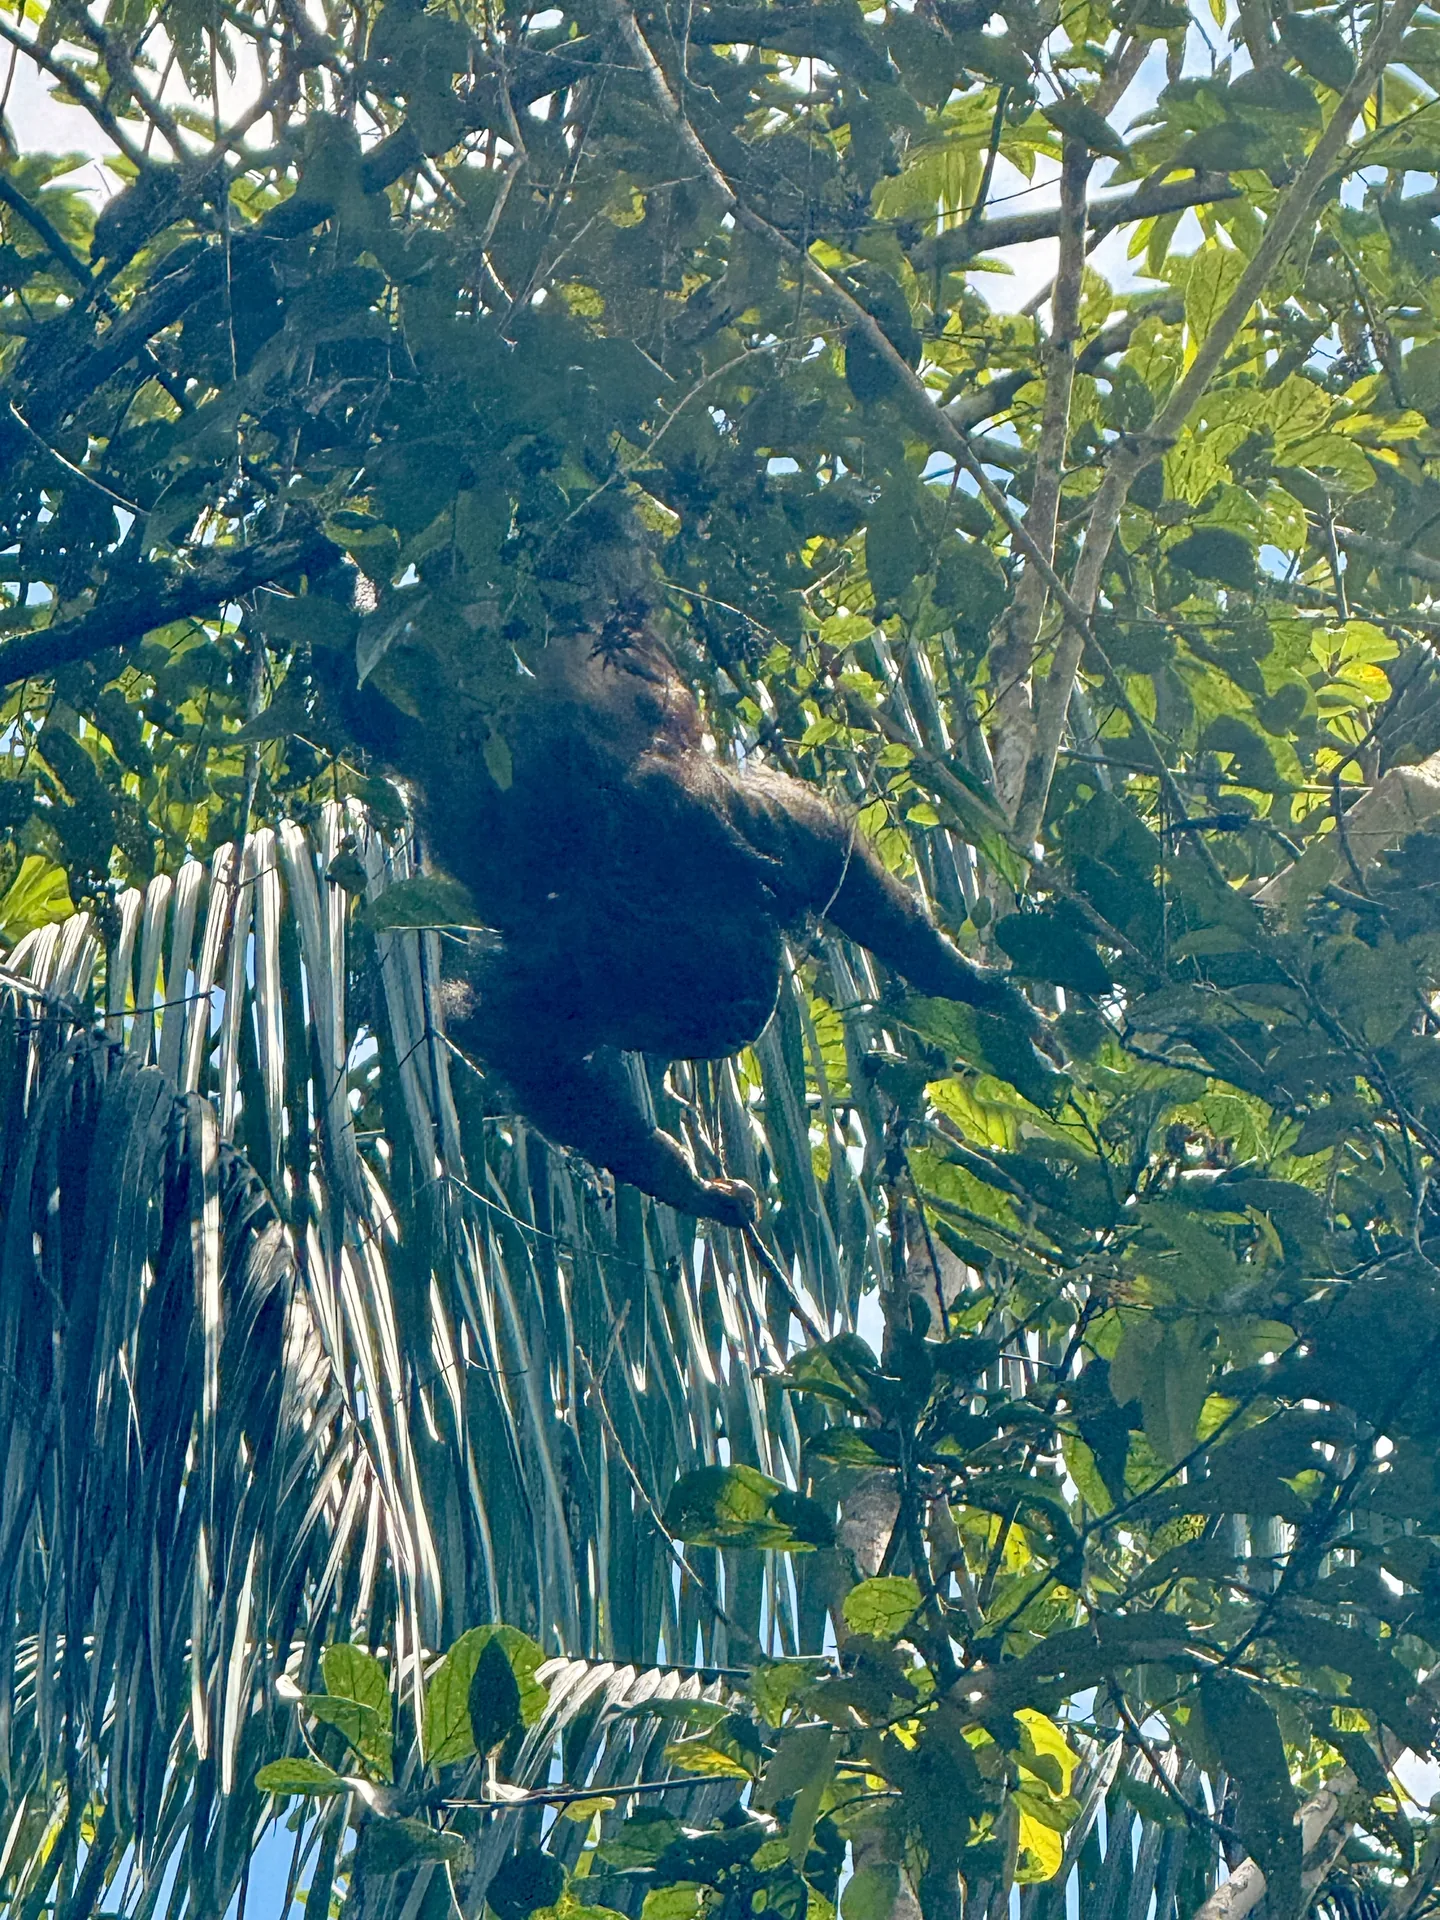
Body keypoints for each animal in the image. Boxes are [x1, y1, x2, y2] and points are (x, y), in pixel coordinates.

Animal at [337, 596, 1043, 1226]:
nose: (739, 1036)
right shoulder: (588, 963)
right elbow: (504, 1030)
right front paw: (693, 1191)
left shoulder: (716, 844)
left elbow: (822, 847)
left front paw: (973, 988)